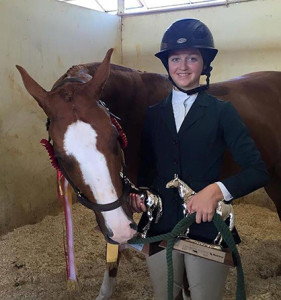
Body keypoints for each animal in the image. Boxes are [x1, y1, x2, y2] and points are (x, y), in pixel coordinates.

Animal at [17, 48, 280, 298]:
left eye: (115, 137)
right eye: (60, 157)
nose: (121, 228)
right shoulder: (118, 205)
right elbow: (113, 249)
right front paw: (106, 291)